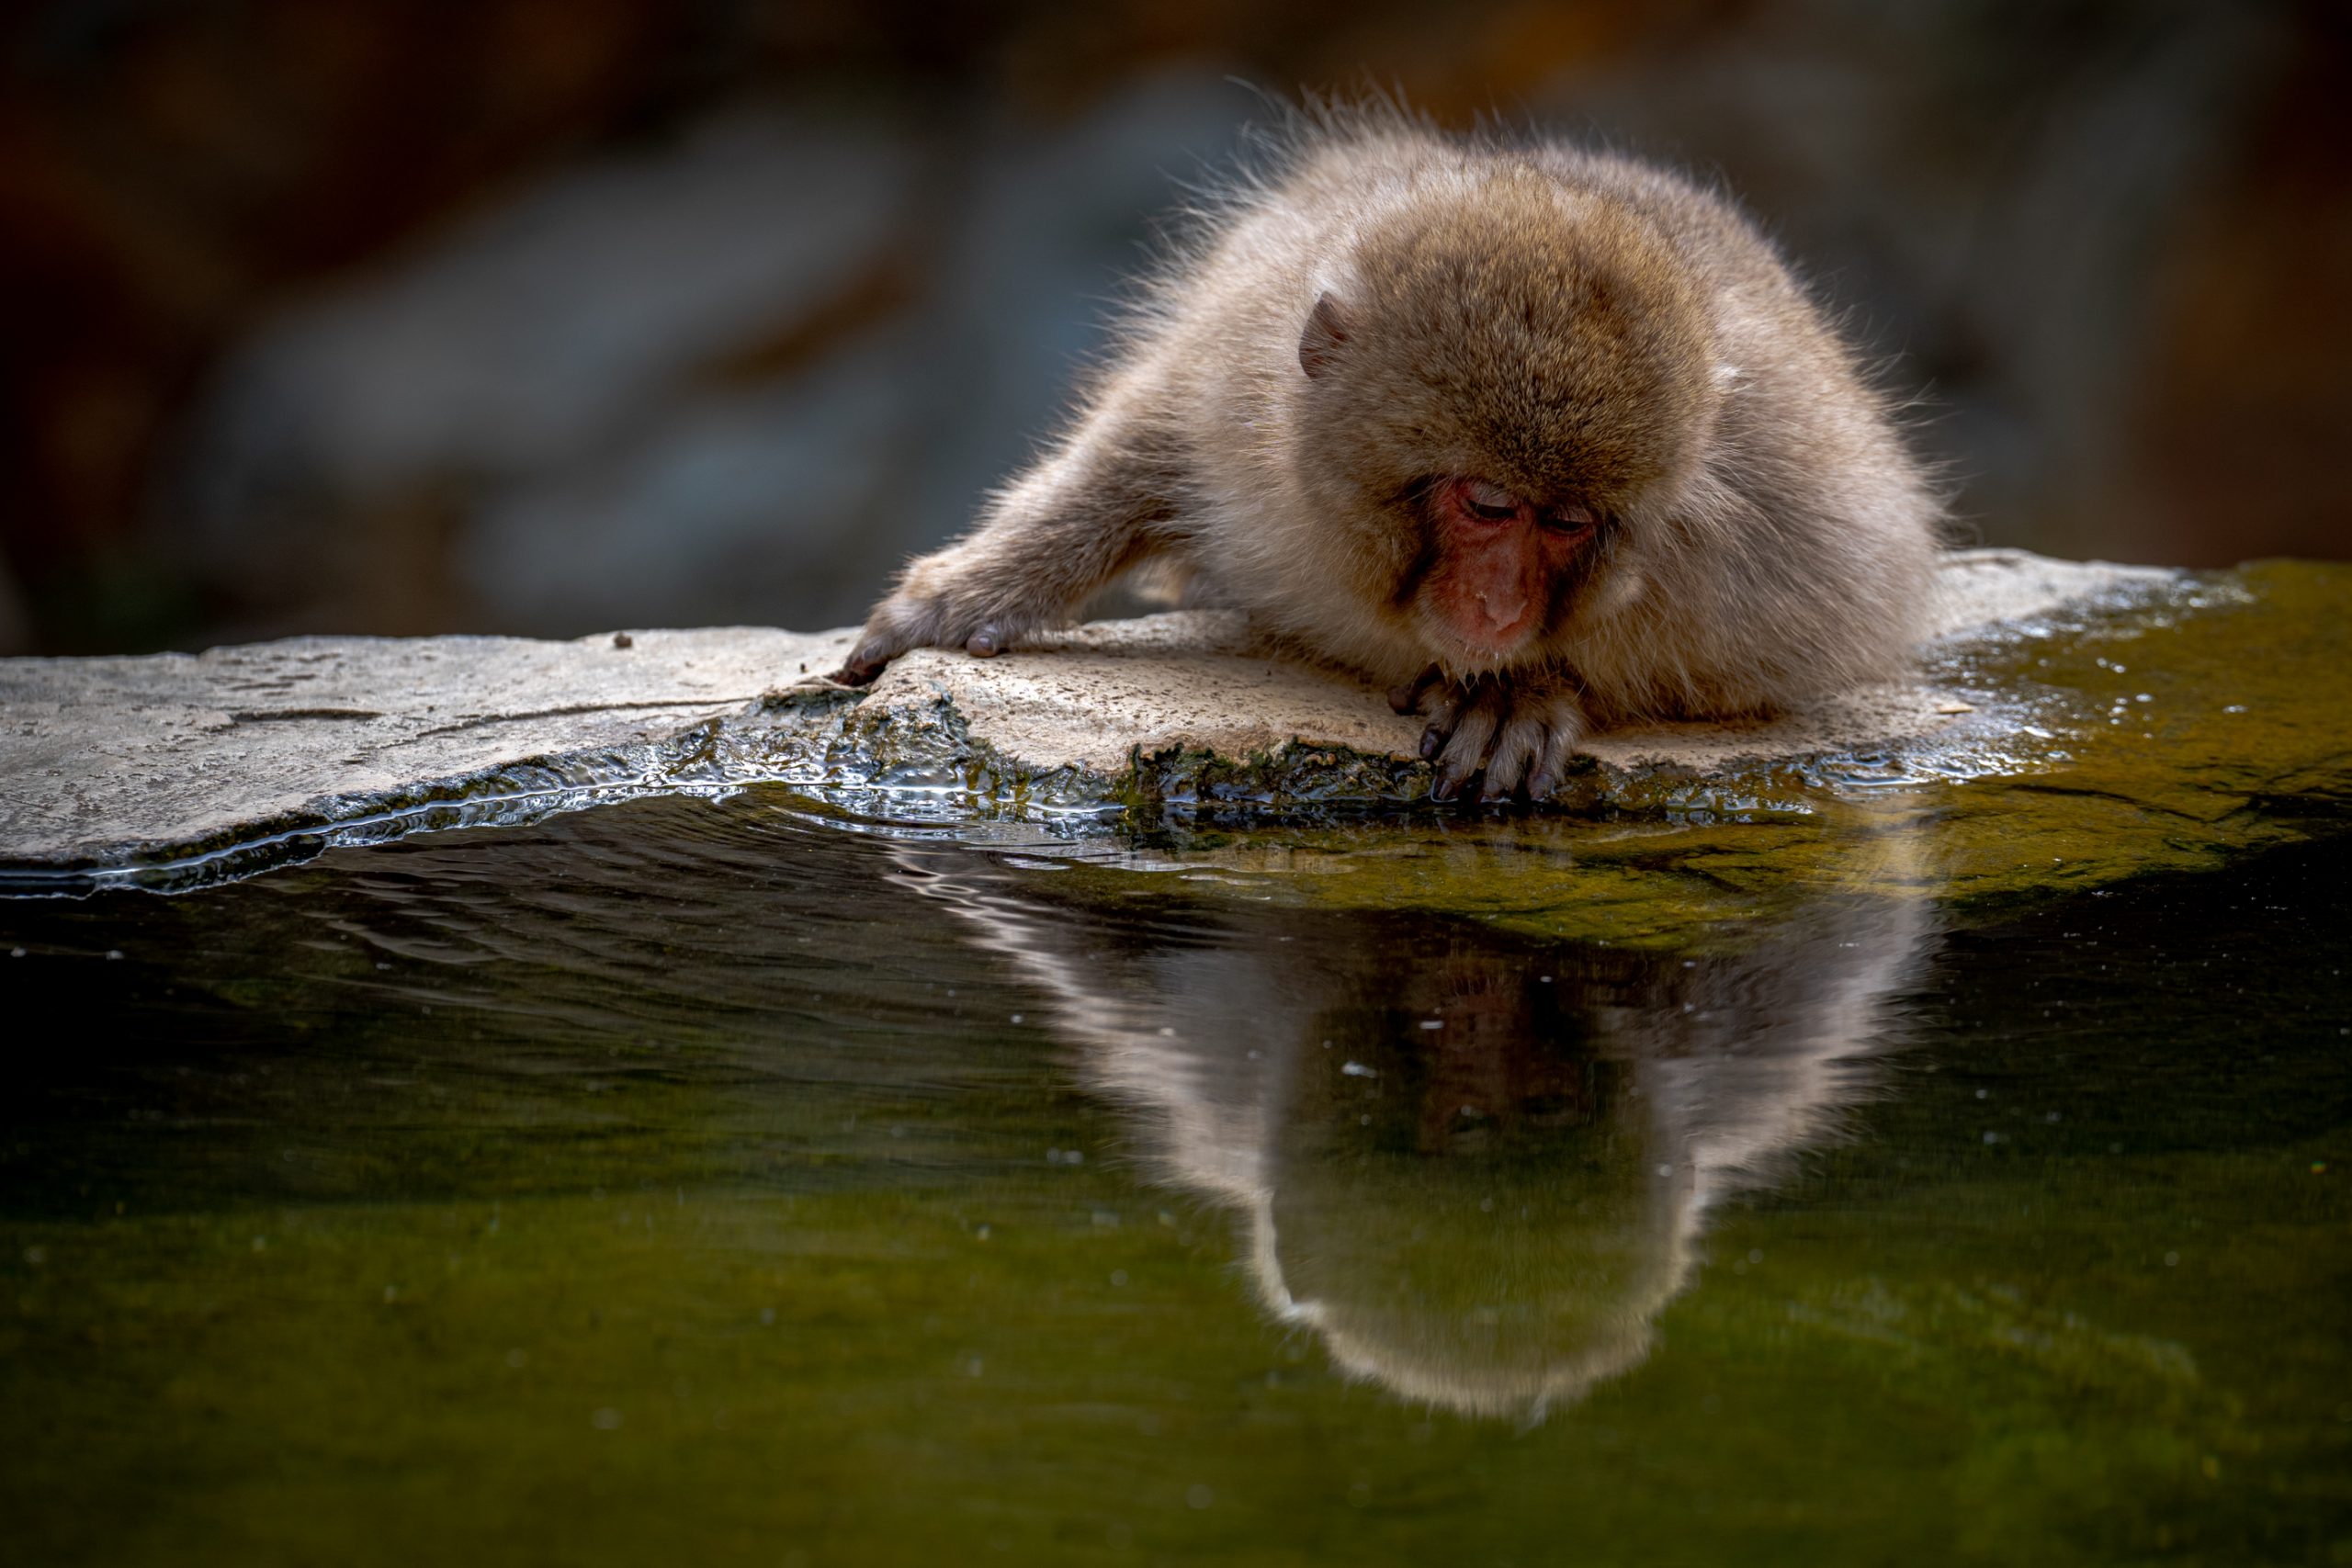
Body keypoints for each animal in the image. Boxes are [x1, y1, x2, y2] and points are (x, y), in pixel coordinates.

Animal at [836, 102, 1942, 801]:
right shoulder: (1241, 381)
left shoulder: (1759, 543)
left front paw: (1529, 692)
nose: (1499, 608)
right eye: (1486, 504)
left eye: (1569, 522)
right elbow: (1151, 434)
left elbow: (1793, 657)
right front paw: (974, 591)